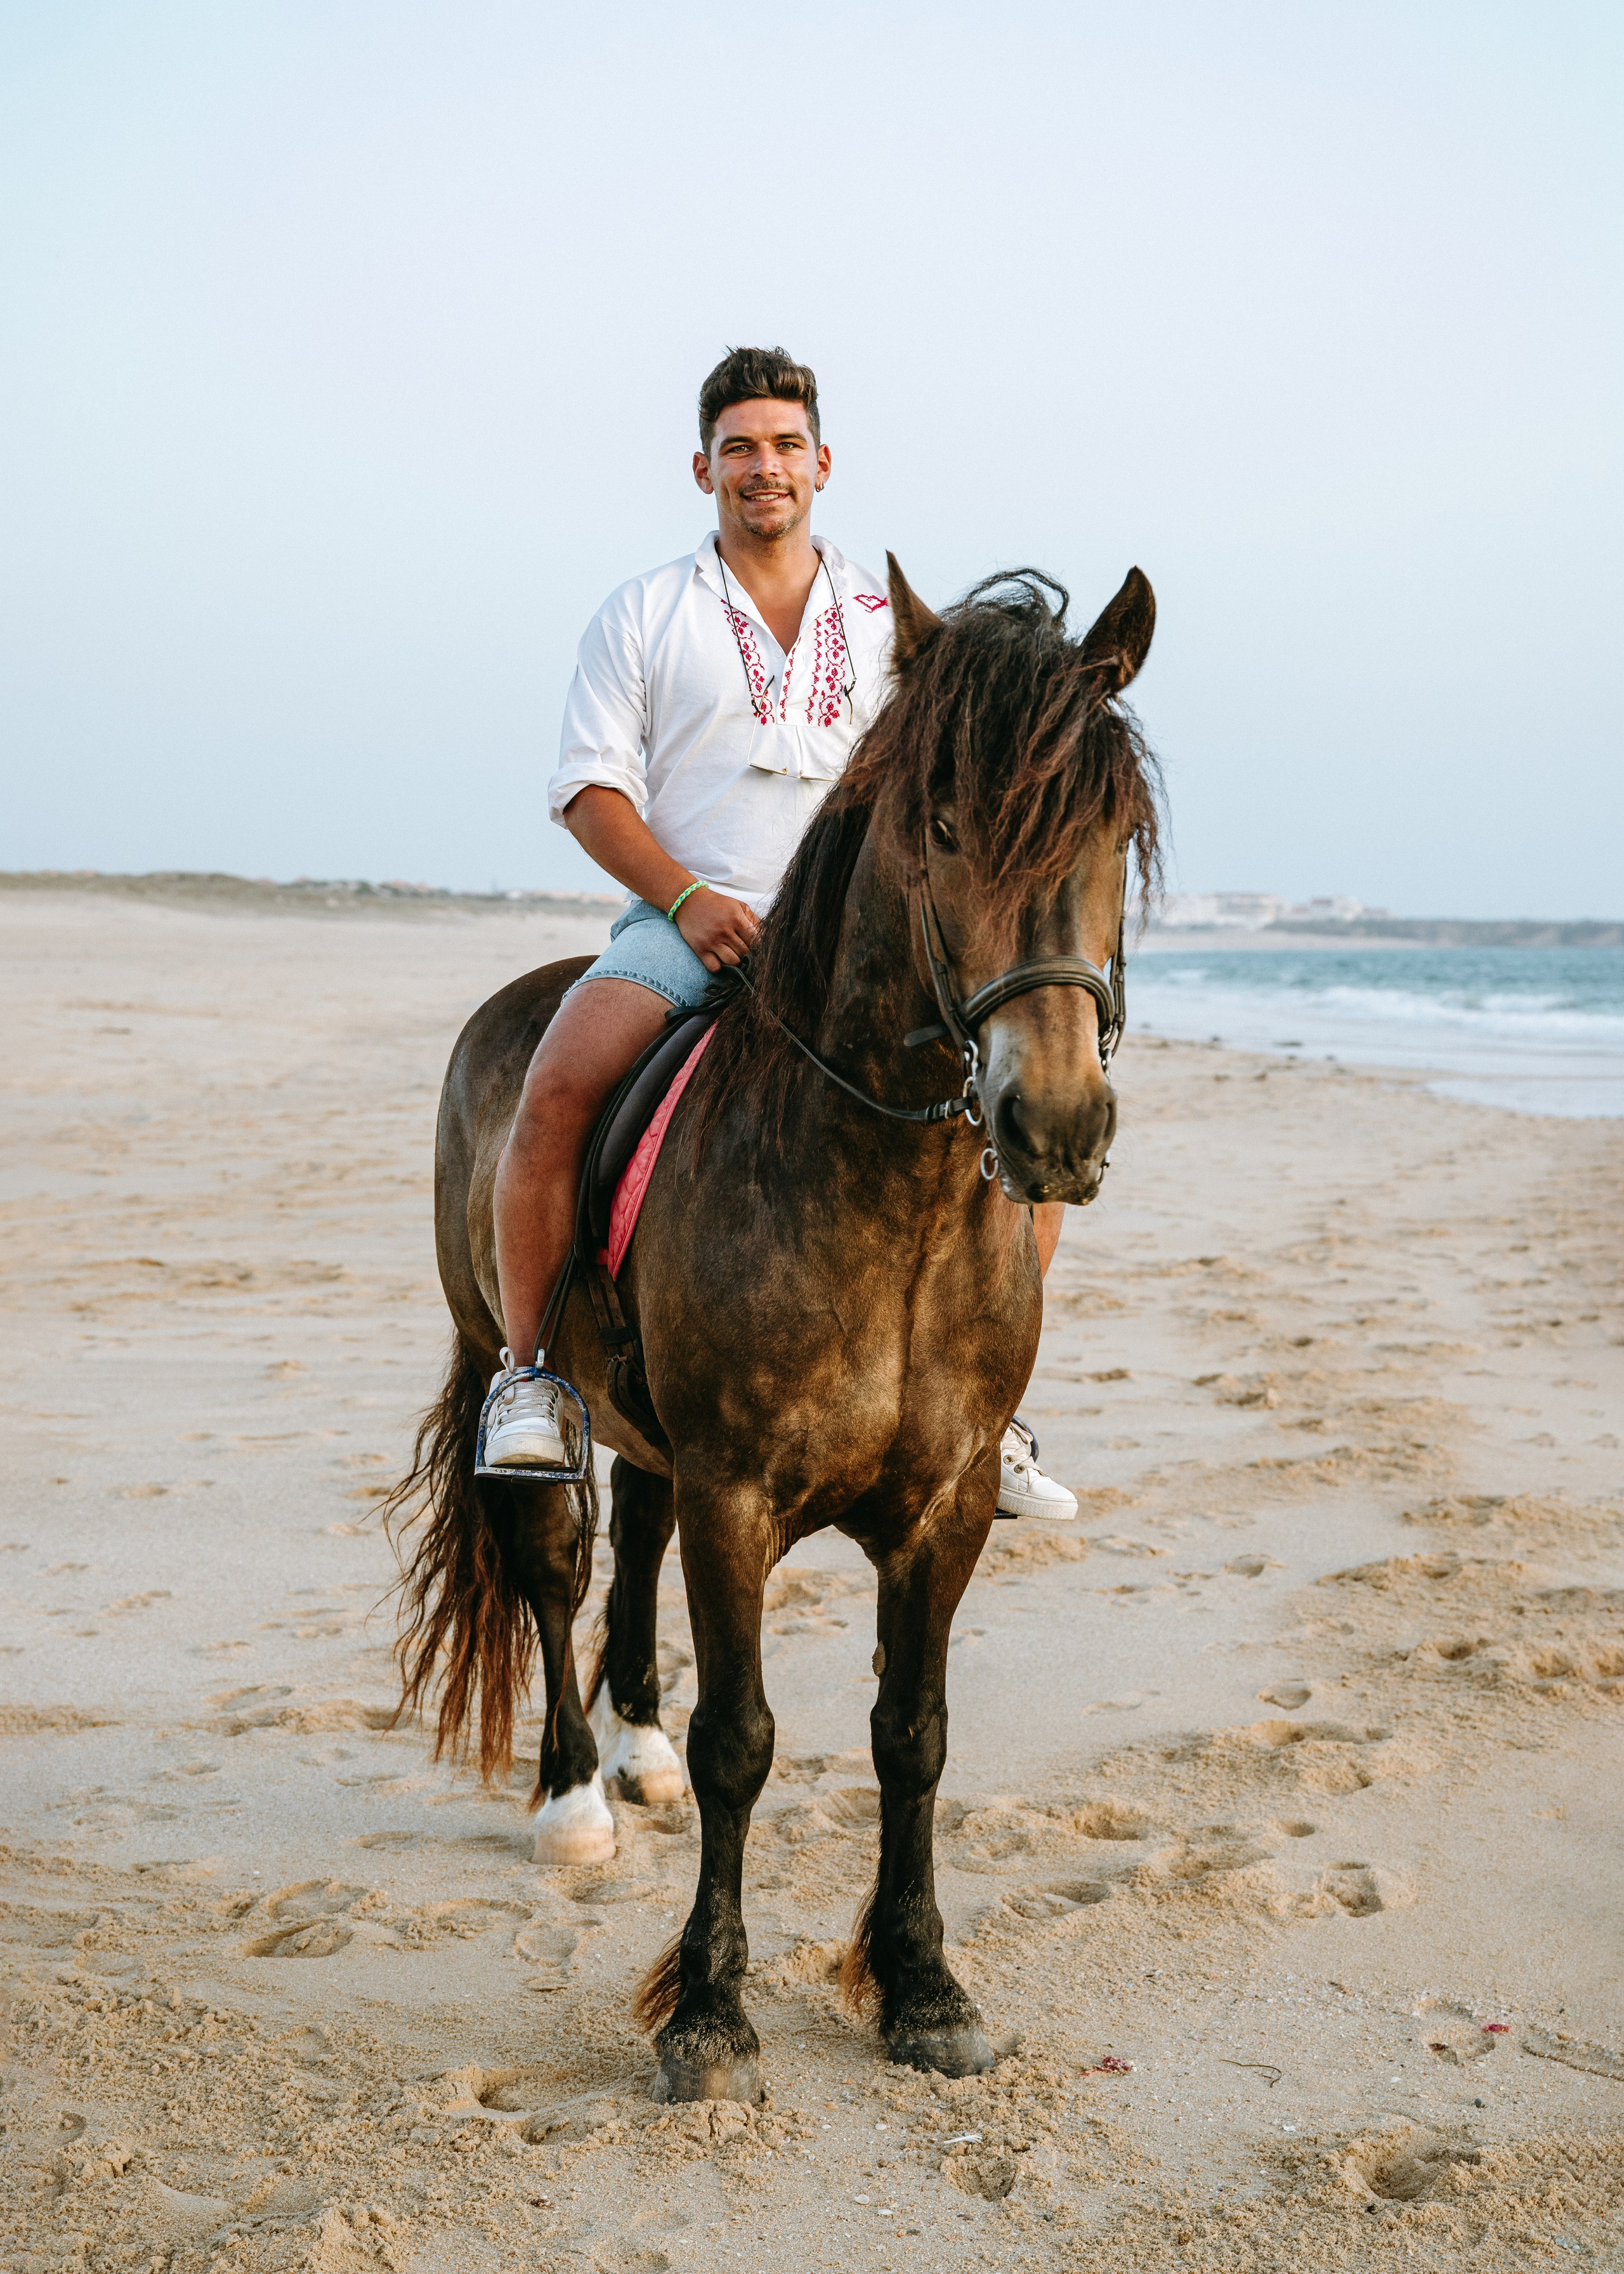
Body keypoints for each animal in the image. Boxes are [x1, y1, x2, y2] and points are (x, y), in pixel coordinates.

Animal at [388, 557, 1159, 2105]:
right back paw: (577, 1794)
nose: (1051, 1124)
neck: (887, 1200)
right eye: (941, 824)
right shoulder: (739, 1494)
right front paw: (705, 2010)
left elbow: (912, 1734)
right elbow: (739, 1739)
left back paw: (630, 1748)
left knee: (634, 1528)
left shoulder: (943, 1507)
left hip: (656, 1436)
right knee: (552, 1564)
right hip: (515, 1362)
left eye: (1112, 829)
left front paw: (922, 1985)